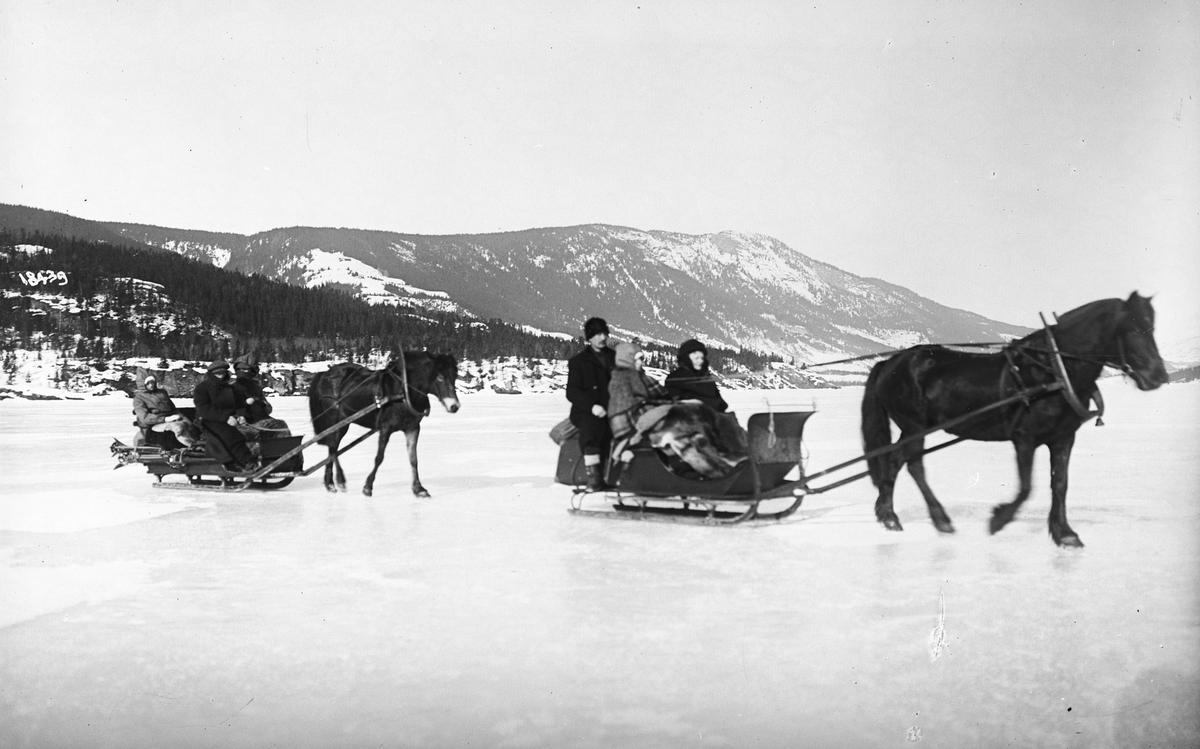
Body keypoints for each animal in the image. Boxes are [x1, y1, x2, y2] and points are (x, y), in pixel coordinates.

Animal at [307, 350, 460, 496]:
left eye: (454, 376)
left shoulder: (413, 428)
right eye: (440, 377)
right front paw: (368, 487)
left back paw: (330, 484)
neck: (403, 392)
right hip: (336, 420)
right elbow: (379, 458)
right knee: (333, 447)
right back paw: (339, 481)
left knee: (332, 448)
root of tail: (325, 374)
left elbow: (413, 459)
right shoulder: (386, 428)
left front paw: (419, 488)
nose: (454, 406)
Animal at [859, 294, 1166, 549]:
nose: (1159, 376)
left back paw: (888, 515)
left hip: (911, 428)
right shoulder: (1024, 438)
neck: (1053, 372)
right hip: (914, 426)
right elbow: (1027, 487)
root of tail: (888, 363)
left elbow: (1060, 484)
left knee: (894, 462)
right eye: (1134, 329)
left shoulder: (1063, 438)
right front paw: (998, 519)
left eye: (1152, 328)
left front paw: (1065, 533)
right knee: (915, 466)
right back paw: (940, 519)